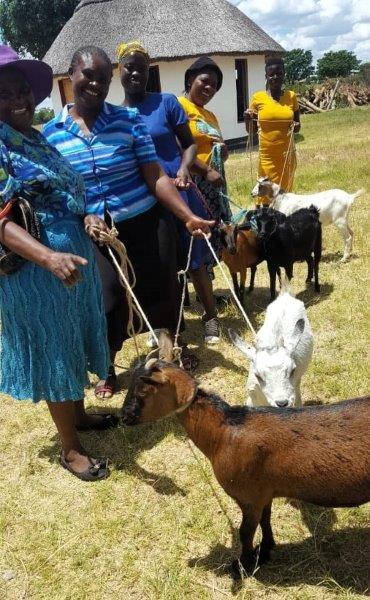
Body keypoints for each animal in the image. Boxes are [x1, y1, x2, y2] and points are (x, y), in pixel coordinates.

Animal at [123, 360, 370, 576]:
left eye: (143, 391)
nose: (123, 417)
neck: (223, 432)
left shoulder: (248, 496)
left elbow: (245, 532)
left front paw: (243, 565)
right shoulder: (264, 493)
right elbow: (265, 520)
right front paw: (266, 550)